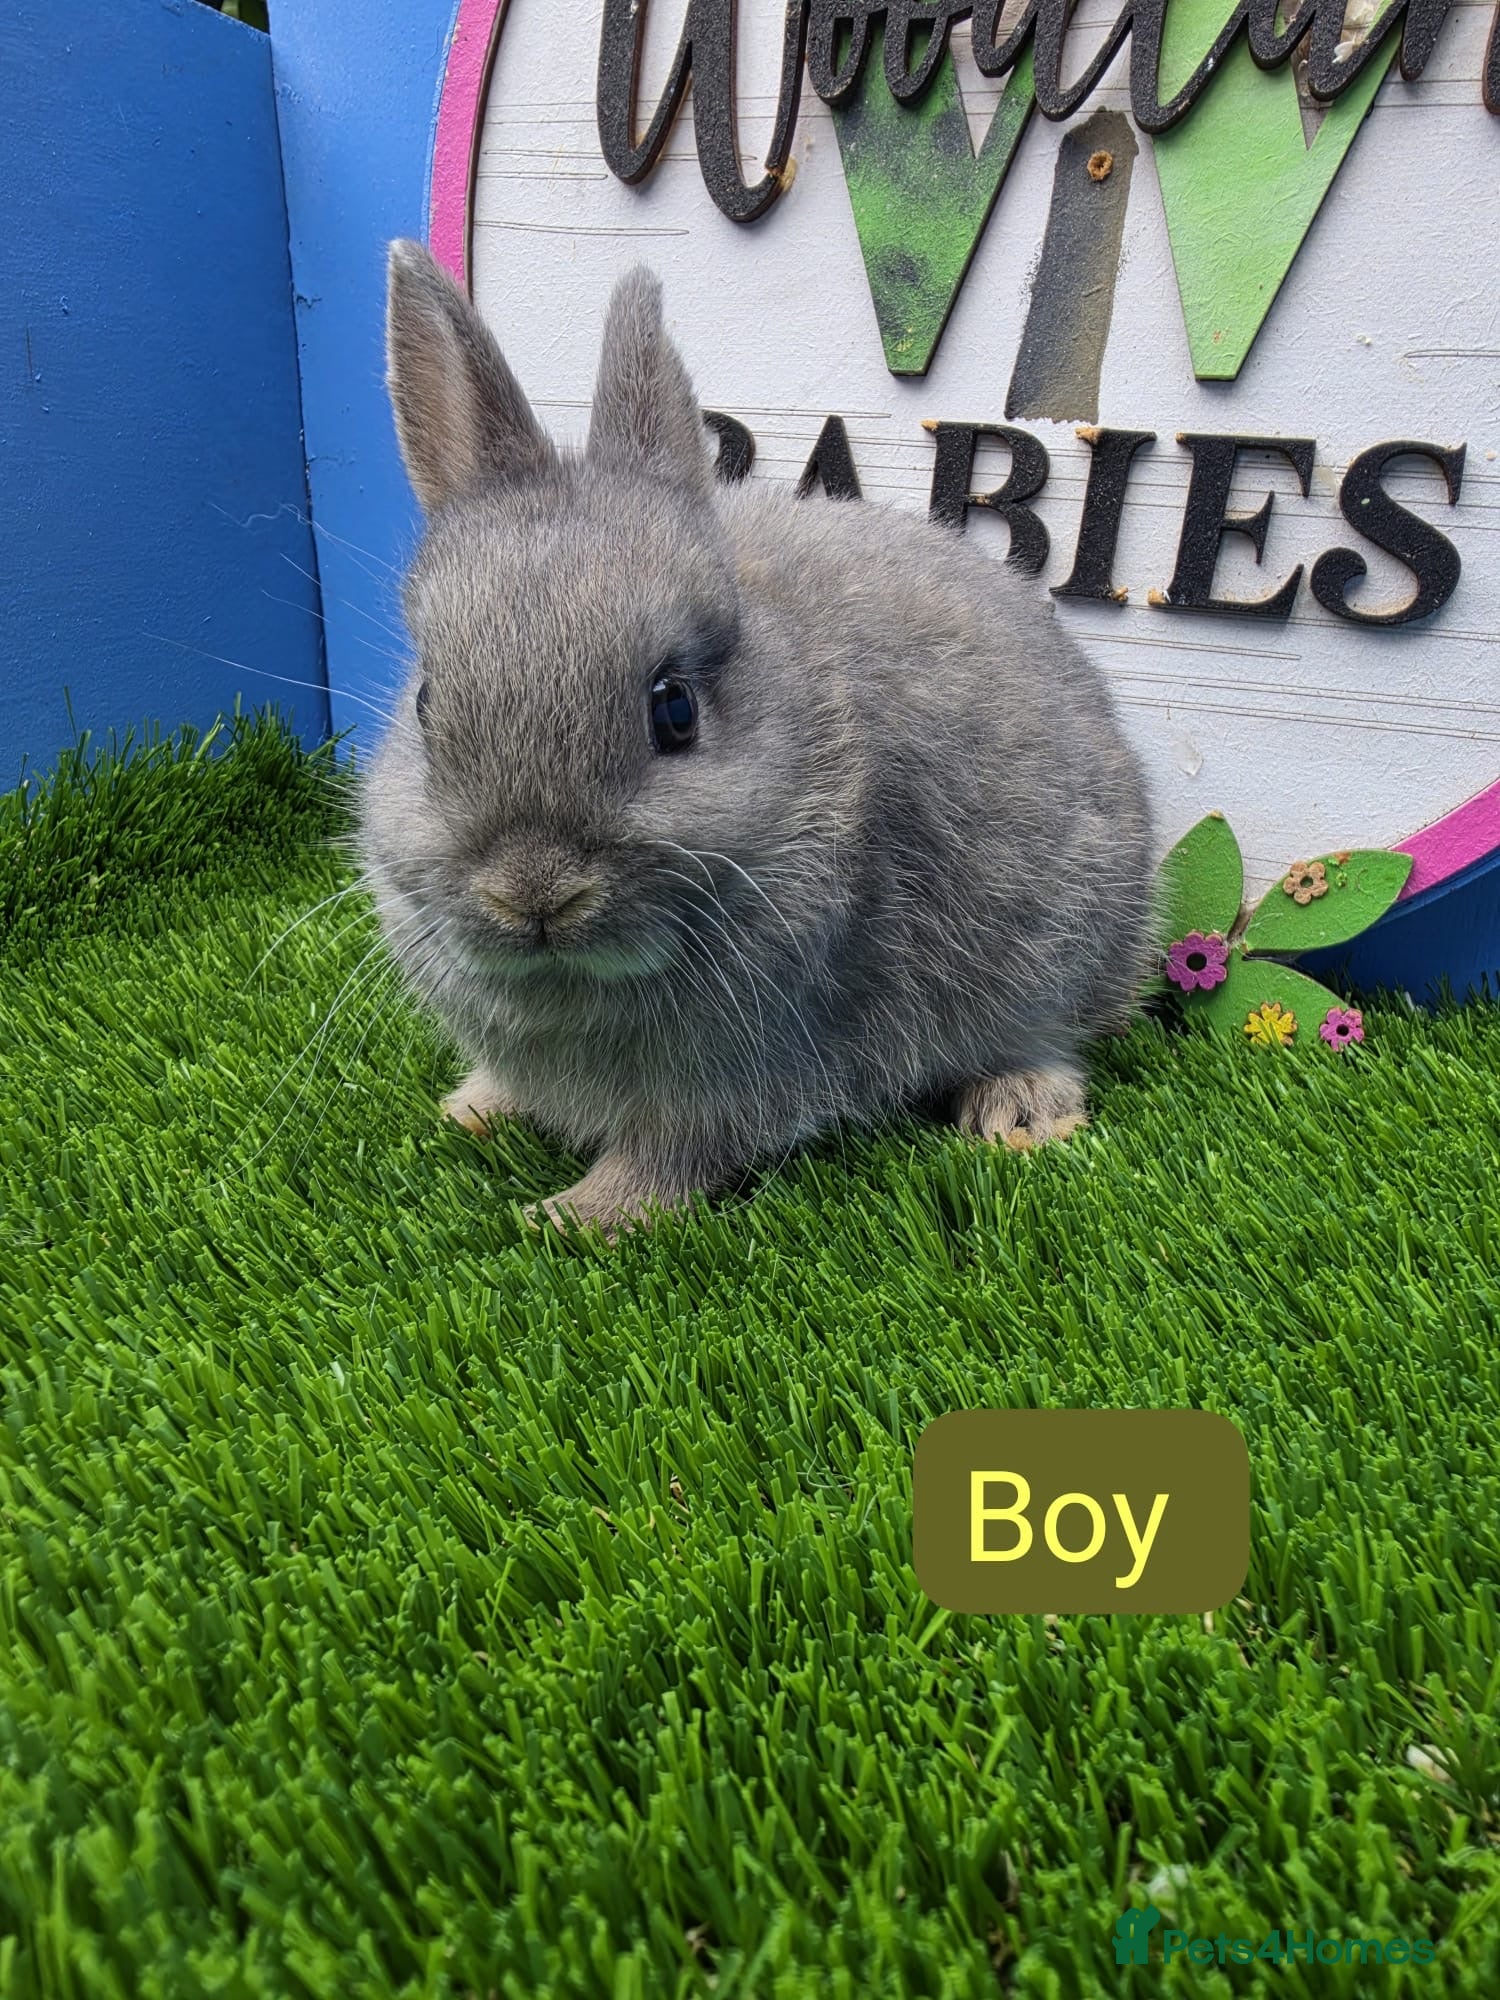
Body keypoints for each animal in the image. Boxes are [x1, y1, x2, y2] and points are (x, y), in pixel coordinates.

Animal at [358, 238, 1154, 1236]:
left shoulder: (743, 1070)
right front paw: (474, 1107)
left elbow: (674, 1156)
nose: (533, 894)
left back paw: (1019, 1112)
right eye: (426, 703)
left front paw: (571, 1217)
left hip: (1070, 940)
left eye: (675, 710)